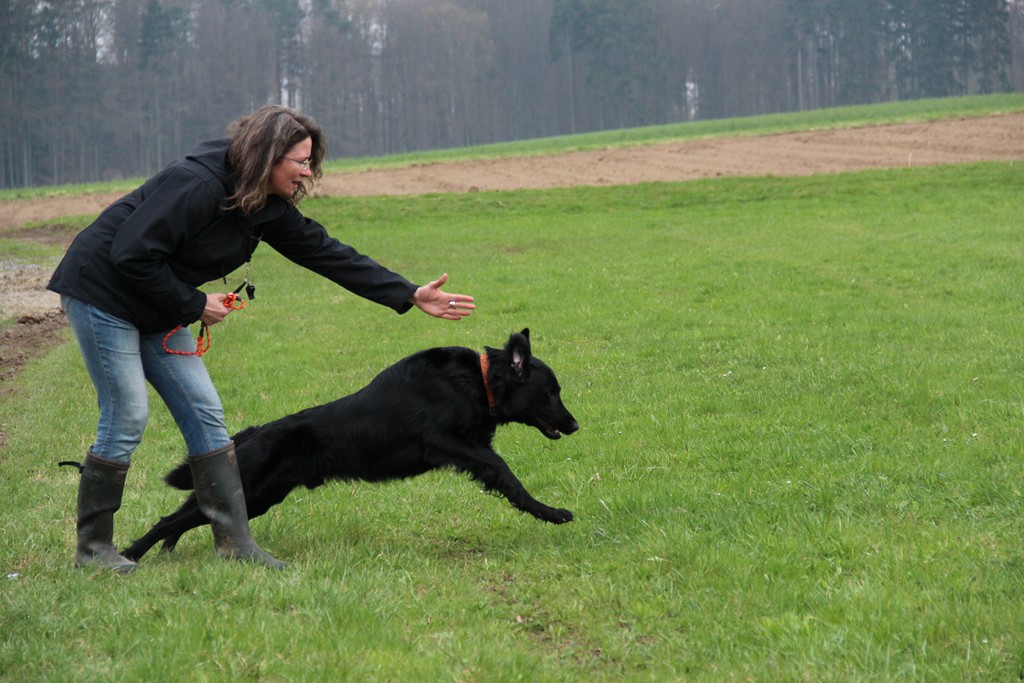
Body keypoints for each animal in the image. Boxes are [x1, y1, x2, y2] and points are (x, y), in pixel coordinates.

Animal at [121, 329, 577, 561]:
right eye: (551, 393)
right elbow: (505, 473)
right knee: (169, 519)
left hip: (259, 498)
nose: (575, 425)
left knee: (195, 518)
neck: (478, 382)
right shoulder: (445, 442)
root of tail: (252, 433)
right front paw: (551, 513)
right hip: (249, 488)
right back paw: (130, 554)